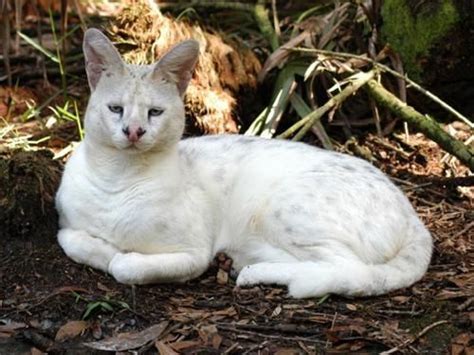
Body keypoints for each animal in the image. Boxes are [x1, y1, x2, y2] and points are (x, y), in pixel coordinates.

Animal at [53, 29, 432, 298]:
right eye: (115, 108)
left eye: (155, 112)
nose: (133, 131)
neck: (117, 179)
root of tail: (414, 216)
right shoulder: (66, 222)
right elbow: (70, 239)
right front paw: (102, 246)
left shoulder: (194, 253)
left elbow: (124, 266)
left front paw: (118, 254)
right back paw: (245, 262)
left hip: (286, 207)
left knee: (347, 270)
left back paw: (257, 274)